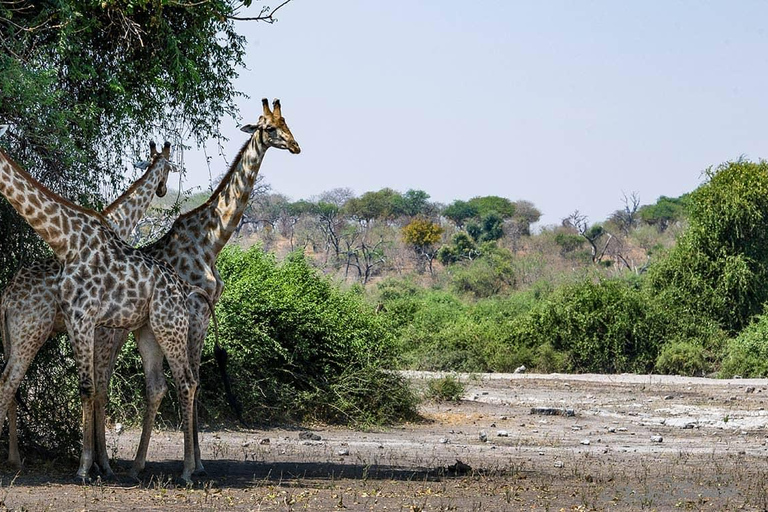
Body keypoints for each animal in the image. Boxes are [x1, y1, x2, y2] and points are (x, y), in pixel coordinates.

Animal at [0, 129, 207, 484]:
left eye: (168, 170)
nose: (163, 189)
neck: (67, 240)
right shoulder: (85, 322)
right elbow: (93, 388)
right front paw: (94, 466)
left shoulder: (94, 323)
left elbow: (93, 388)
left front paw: (95, 466)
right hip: (32, 333)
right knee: (10, 381)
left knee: (186, 381)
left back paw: (186, 471)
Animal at [91, 98, 302, 478]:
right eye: (268, 128)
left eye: (287, 123)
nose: (295, 146)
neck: (211, 241)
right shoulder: (193, 312)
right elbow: (186, 382)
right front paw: (189, 465)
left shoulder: (204, 315)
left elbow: (198, 381)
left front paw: (200, 463)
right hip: (109, 332)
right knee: (100, 384)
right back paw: (105, 464)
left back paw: (108, 462)